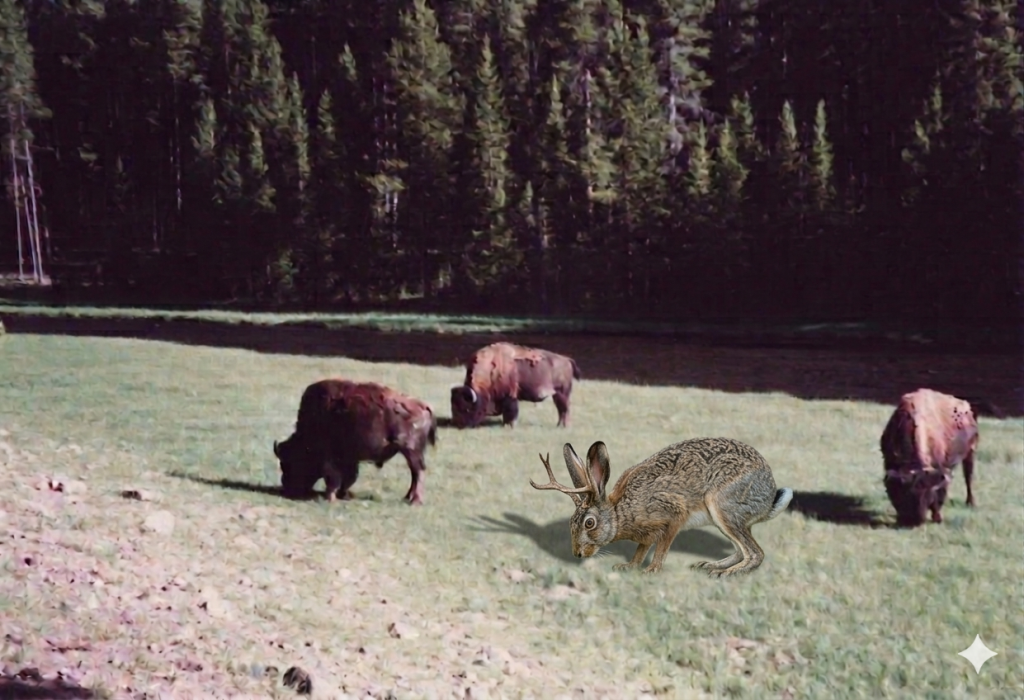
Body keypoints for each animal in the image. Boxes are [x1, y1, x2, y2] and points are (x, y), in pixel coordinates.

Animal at [273, 379, 437, 505]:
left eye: (287, 462)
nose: (286, 486)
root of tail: (423, 406)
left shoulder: (331, 457)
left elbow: (333, 477)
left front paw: (331, 497)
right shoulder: (349, 459)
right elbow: (348, 477)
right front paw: (342, 495)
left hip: (410, 450)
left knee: (418, 472)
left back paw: (415, 501)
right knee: (415, 473)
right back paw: (407, 497)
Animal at [450, 342, 581, 428]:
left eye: (467, 408)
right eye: (453, 407)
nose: (459, 424)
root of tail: (567, 360)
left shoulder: (510, 396)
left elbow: (511, 412)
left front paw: (509, 425)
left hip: (562, 393)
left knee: (564, 409)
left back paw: (564, 426)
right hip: (557, 395)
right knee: (561, 410)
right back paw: (559, 426)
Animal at [880, 388, 979, 527]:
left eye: (927, 494)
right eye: (899, 494)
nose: (914, 521)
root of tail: (967, 408)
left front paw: (937, 518)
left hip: (970, 453)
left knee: (968, 478)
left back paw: (970, 503)